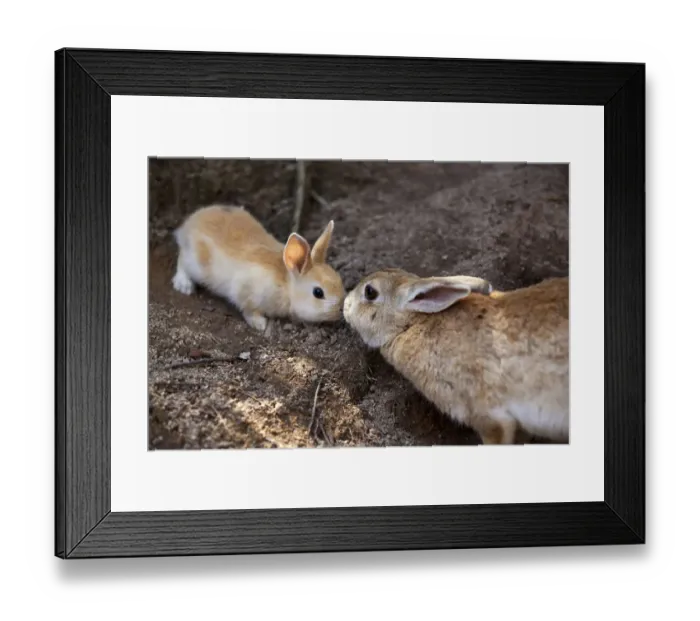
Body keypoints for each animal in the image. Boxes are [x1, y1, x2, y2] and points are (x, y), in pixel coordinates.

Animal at [171, 204, 346, 332]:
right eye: (318, 293)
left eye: (339, 279)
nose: (340, 309)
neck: (287, 286)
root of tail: (188, 225)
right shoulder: (247, 291)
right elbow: (248, 310)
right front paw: (260, 324)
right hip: (196, 263)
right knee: (182, 261)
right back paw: (184, 286)